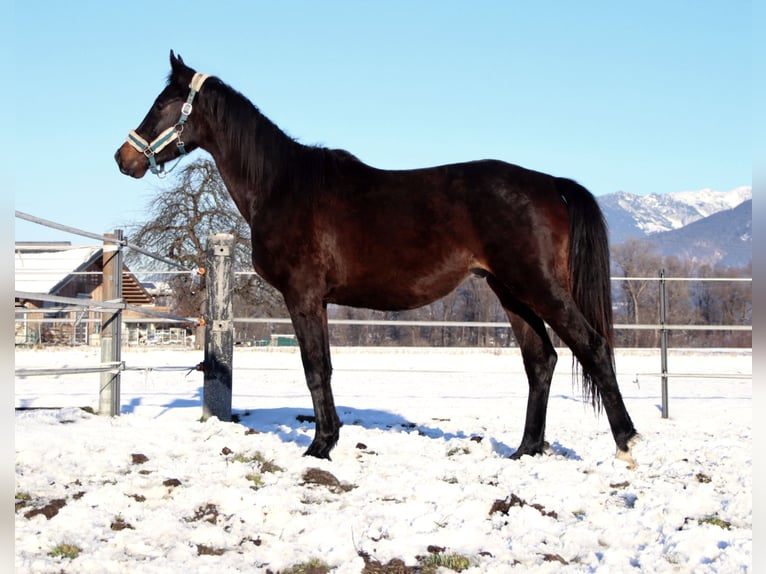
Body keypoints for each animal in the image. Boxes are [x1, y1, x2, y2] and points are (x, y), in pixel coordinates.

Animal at [115, 51, 640, 468]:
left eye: (161, 104)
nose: (125, 158)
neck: (283, 185)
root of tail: (549, 183)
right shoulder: (320, 301)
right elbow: (323, 366)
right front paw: (328, 439)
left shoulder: (303, 296)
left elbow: (315, 368)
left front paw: (320, 446)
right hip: (511, 292)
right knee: (542, 361)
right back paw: (526, 450)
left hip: (538, 287)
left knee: (592, 347)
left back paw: (626, 443)